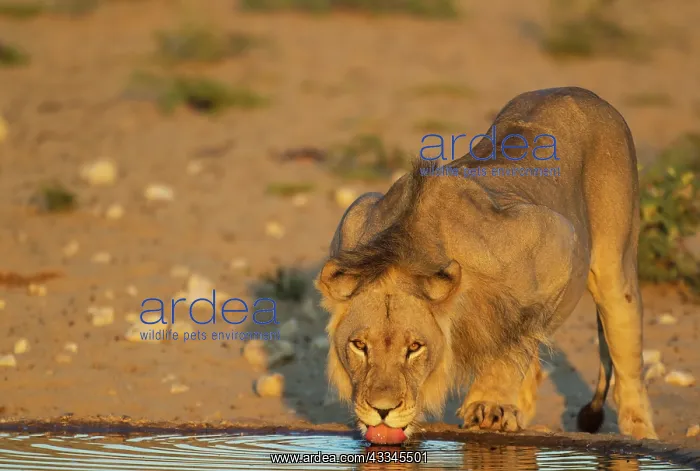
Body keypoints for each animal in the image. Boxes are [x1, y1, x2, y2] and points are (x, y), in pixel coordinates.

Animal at [315, 87, 657, 444]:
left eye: (414, 348)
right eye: (359, 346)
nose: (382, 410)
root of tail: (581, 92)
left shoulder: (557, 240)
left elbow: (514, 342)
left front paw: (488, 405)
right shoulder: (355, 216)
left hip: (615, 270)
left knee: (626, 362)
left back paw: (640, 433)